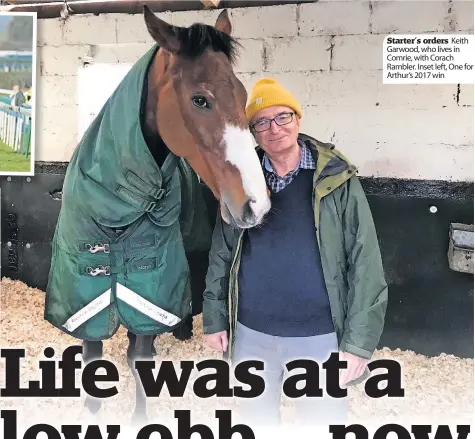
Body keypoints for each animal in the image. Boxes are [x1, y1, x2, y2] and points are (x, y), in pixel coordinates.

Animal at [82, 4, 272, 426]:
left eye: (242, 94)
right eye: (200, 99)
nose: (257, 204)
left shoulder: (151, 278)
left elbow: (139, 353)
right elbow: (91, 352)